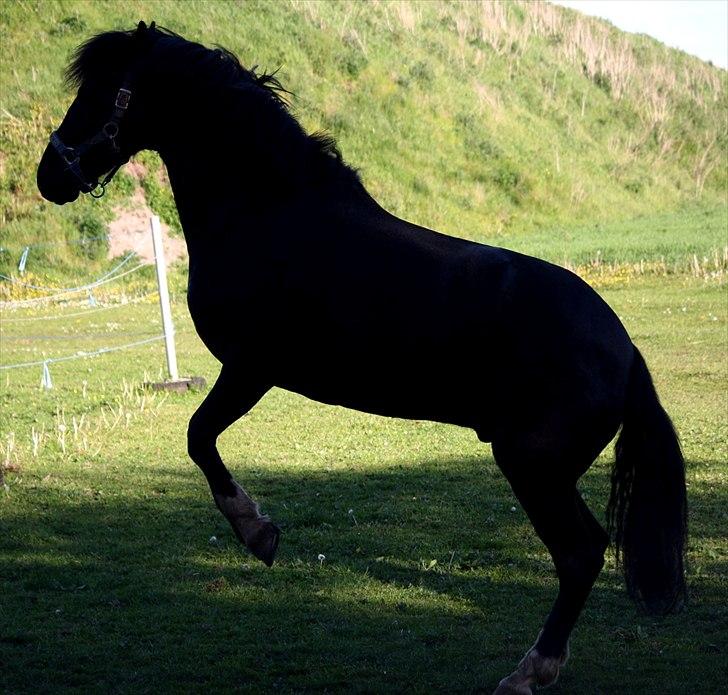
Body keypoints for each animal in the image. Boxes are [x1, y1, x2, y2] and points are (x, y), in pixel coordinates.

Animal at [38, 24, 688, 692]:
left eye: (100, 91)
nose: (49, 174)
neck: (266, 213)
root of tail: (625, 350)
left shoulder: (250, 368)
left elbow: (198, 437)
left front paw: (257, 531)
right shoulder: (249, 372)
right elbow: (200, 437)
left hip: (534, 467)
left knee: (581, 553)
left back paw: (530, 671)